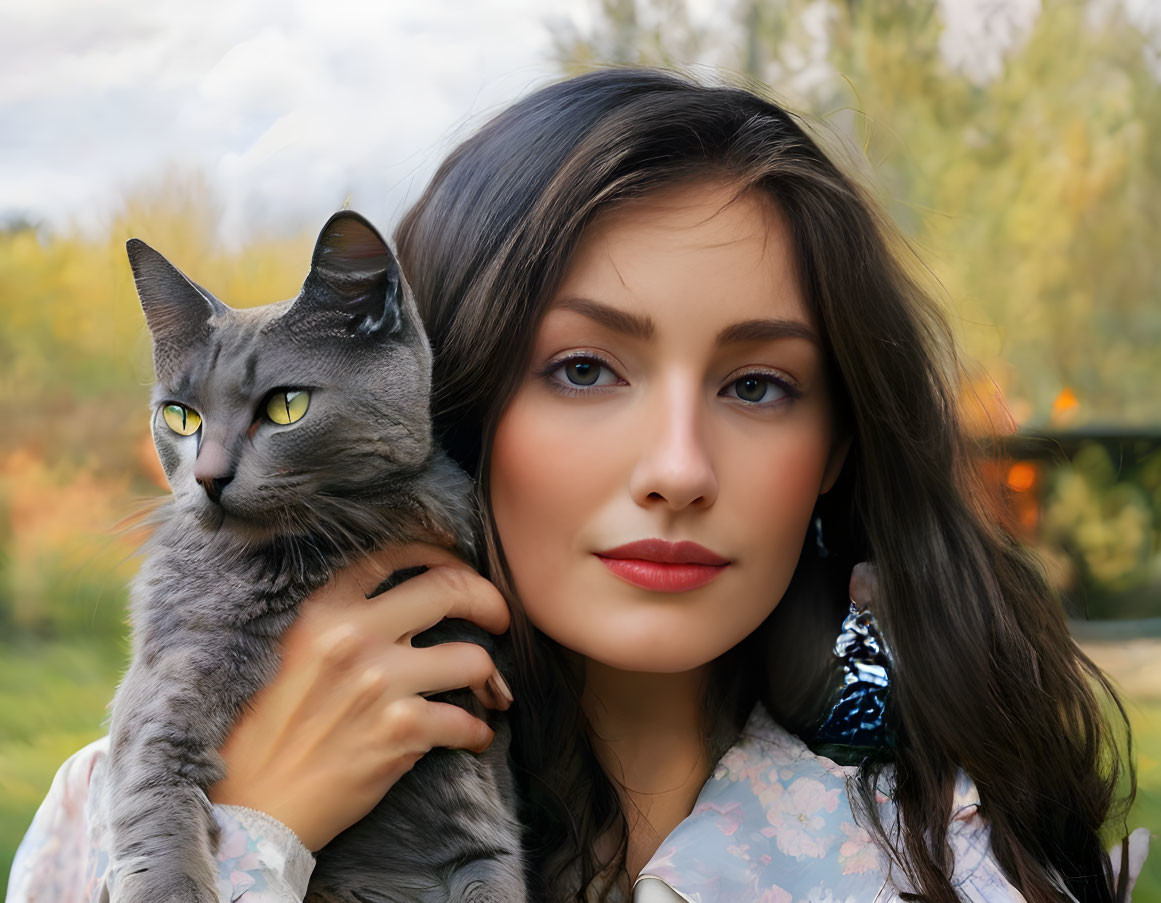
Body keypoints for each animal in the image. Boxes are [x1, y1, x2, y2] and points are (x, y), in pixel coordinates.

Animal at [102, 208, 529, 900]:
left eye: (286, 406)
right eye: (181, 417)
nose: (208, 477)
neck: (298, 562)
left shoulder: (475, 782)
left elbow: (488, 856)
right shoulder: (165, 687)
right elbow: (153, 803)